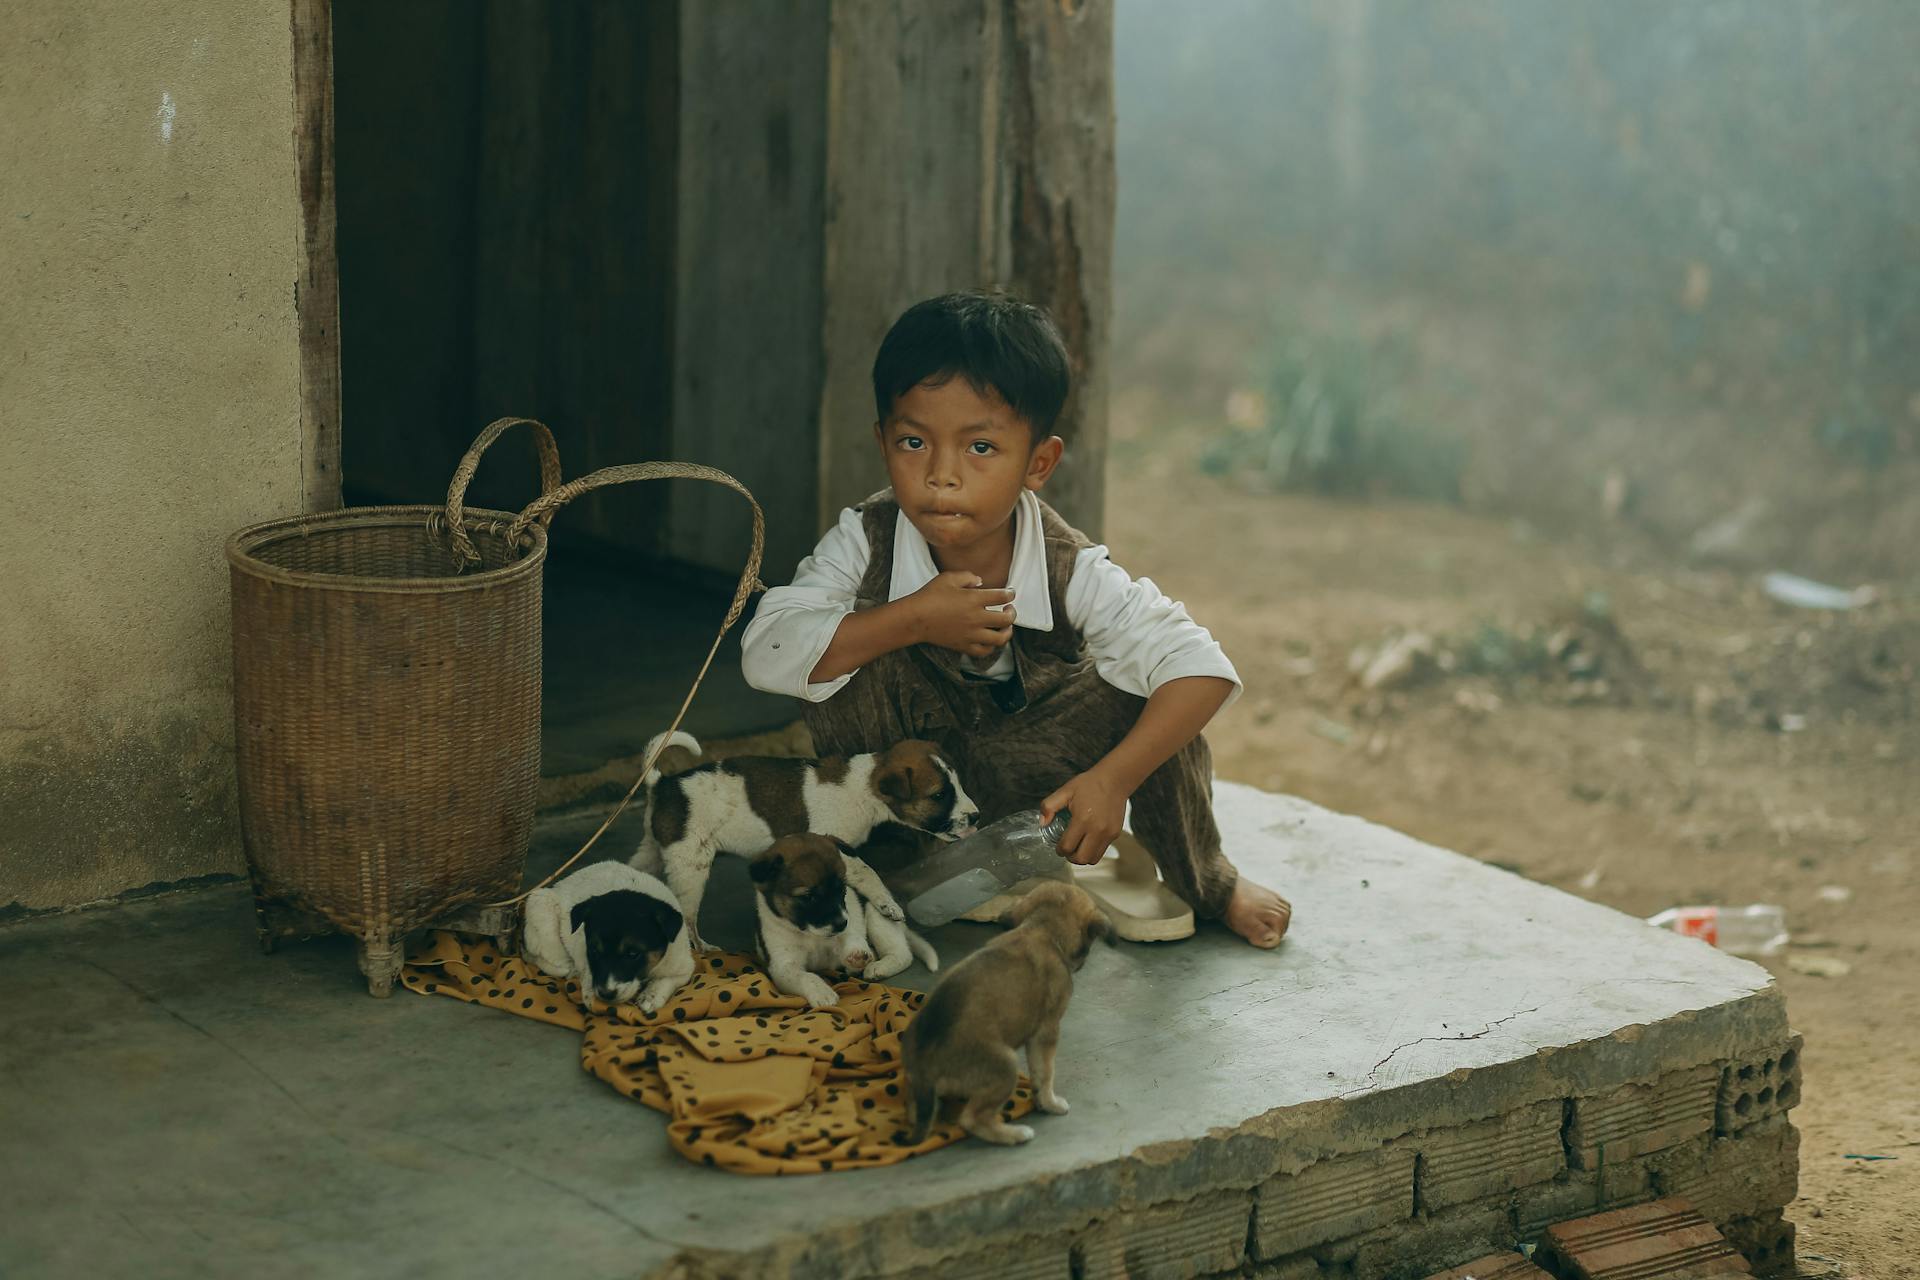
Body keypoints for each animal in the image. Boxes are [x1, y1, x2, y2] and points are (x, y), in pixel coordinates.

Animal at [526, 859, 698, 1013]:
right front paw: (590, 995)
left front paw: (651, 996)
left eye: (633, 954)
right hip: (540, 905)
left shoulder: (683, 966)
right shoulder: (583, 950)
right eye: (594, 951)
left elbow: (666, 980)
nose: (605, 994)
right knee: (549, 958)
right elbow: (587, 972)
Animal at [633, 729, 983, 951]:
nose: (977, 817)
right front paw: (889, 905)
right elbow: (868, 873)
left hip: (651, 853)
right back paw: (700, 948)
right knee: (687, 916)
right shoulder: (834, 845)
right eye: (938, 795)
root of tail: (663, 784)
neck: (863, 787)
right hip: (690, 866)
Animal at [744, 832, 940, 1013]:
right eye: (808, 897)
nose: (841, 924)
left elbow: (852, 938)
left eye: (843, 889)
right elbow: (806, 977)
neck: (809, 934)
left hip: (875, 915)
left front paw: (858, 956)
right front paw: (822, 993)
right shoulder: (783, 966)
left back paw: (878, 967)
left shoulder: (846, 931)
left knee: (902, 954)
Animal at [906, 886, 1121, 1143]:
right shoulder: (1047, 1031)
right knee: (971, 1119)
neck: (1042, 929)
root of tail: (925, 1065)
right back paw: (1016, 1134)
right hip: (1006, 1065)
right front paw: (1051, 1103)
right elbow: (1045, 1073)